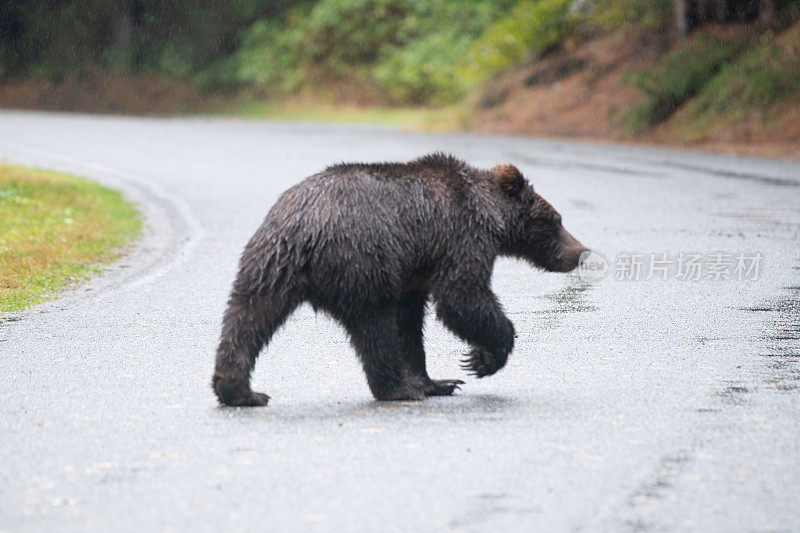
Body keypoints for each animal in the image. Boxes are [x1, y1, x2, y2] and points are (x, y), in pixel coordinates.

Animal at [212, 152, 588, 406]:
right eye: (555, 220)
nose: (580, 251)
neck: (492, 216)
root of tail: (305, 227)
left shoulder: (416, 269)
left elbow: (411, 323)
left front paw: (438, 379)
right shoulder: (461, 236)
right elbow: (461, 296)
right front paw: (481, 359)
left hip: (267, 263)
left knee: (247, 317)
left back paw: (239, 391)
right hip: (361, 259)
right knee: (375, 325)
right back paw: (398, 389)